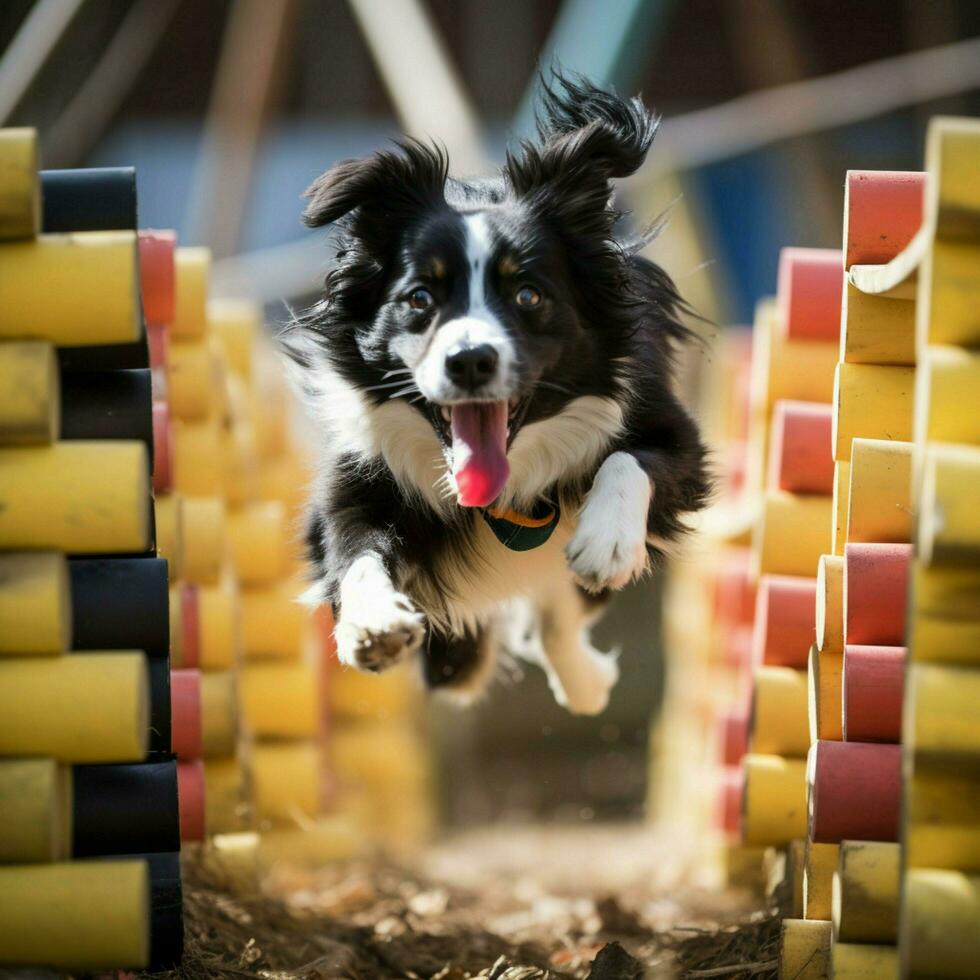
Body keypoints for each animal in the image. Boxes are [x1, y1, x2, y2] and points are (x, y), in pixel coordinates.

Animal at [288, 76, 708, 716]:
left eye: (528, 295)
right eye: (419, 298)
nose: (469, 360)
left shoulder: (674, 433)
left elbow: (630, 459)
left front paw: (605, 543)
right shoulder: (356, 476)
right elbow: (353, 544)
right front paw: (374, 624)